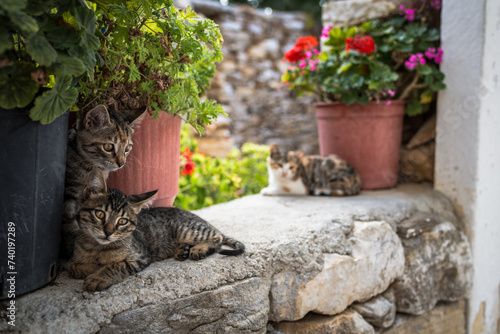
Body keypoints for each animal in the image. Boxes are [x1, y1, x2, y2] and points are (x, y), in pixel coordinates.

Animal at [61, 105, 145, 258]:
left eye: (127, 148)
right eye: (108, 147)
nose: (121, 163)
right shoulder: (68, 194)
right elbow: (70, 222)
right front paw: (74, 247)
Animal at [69, 171, 245, 290]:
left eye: (122, 221)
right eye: (100, 214)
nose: (108, 232)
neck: (98, 248)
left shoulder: (140, 257)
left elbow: (116, 266)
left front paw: (98, 277)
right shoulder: (76, 257)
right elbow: (74, 267)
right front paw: (91, 267)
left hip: (187, 230)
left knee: (217, 237)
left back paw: (199, 249)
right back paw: (183, 250)